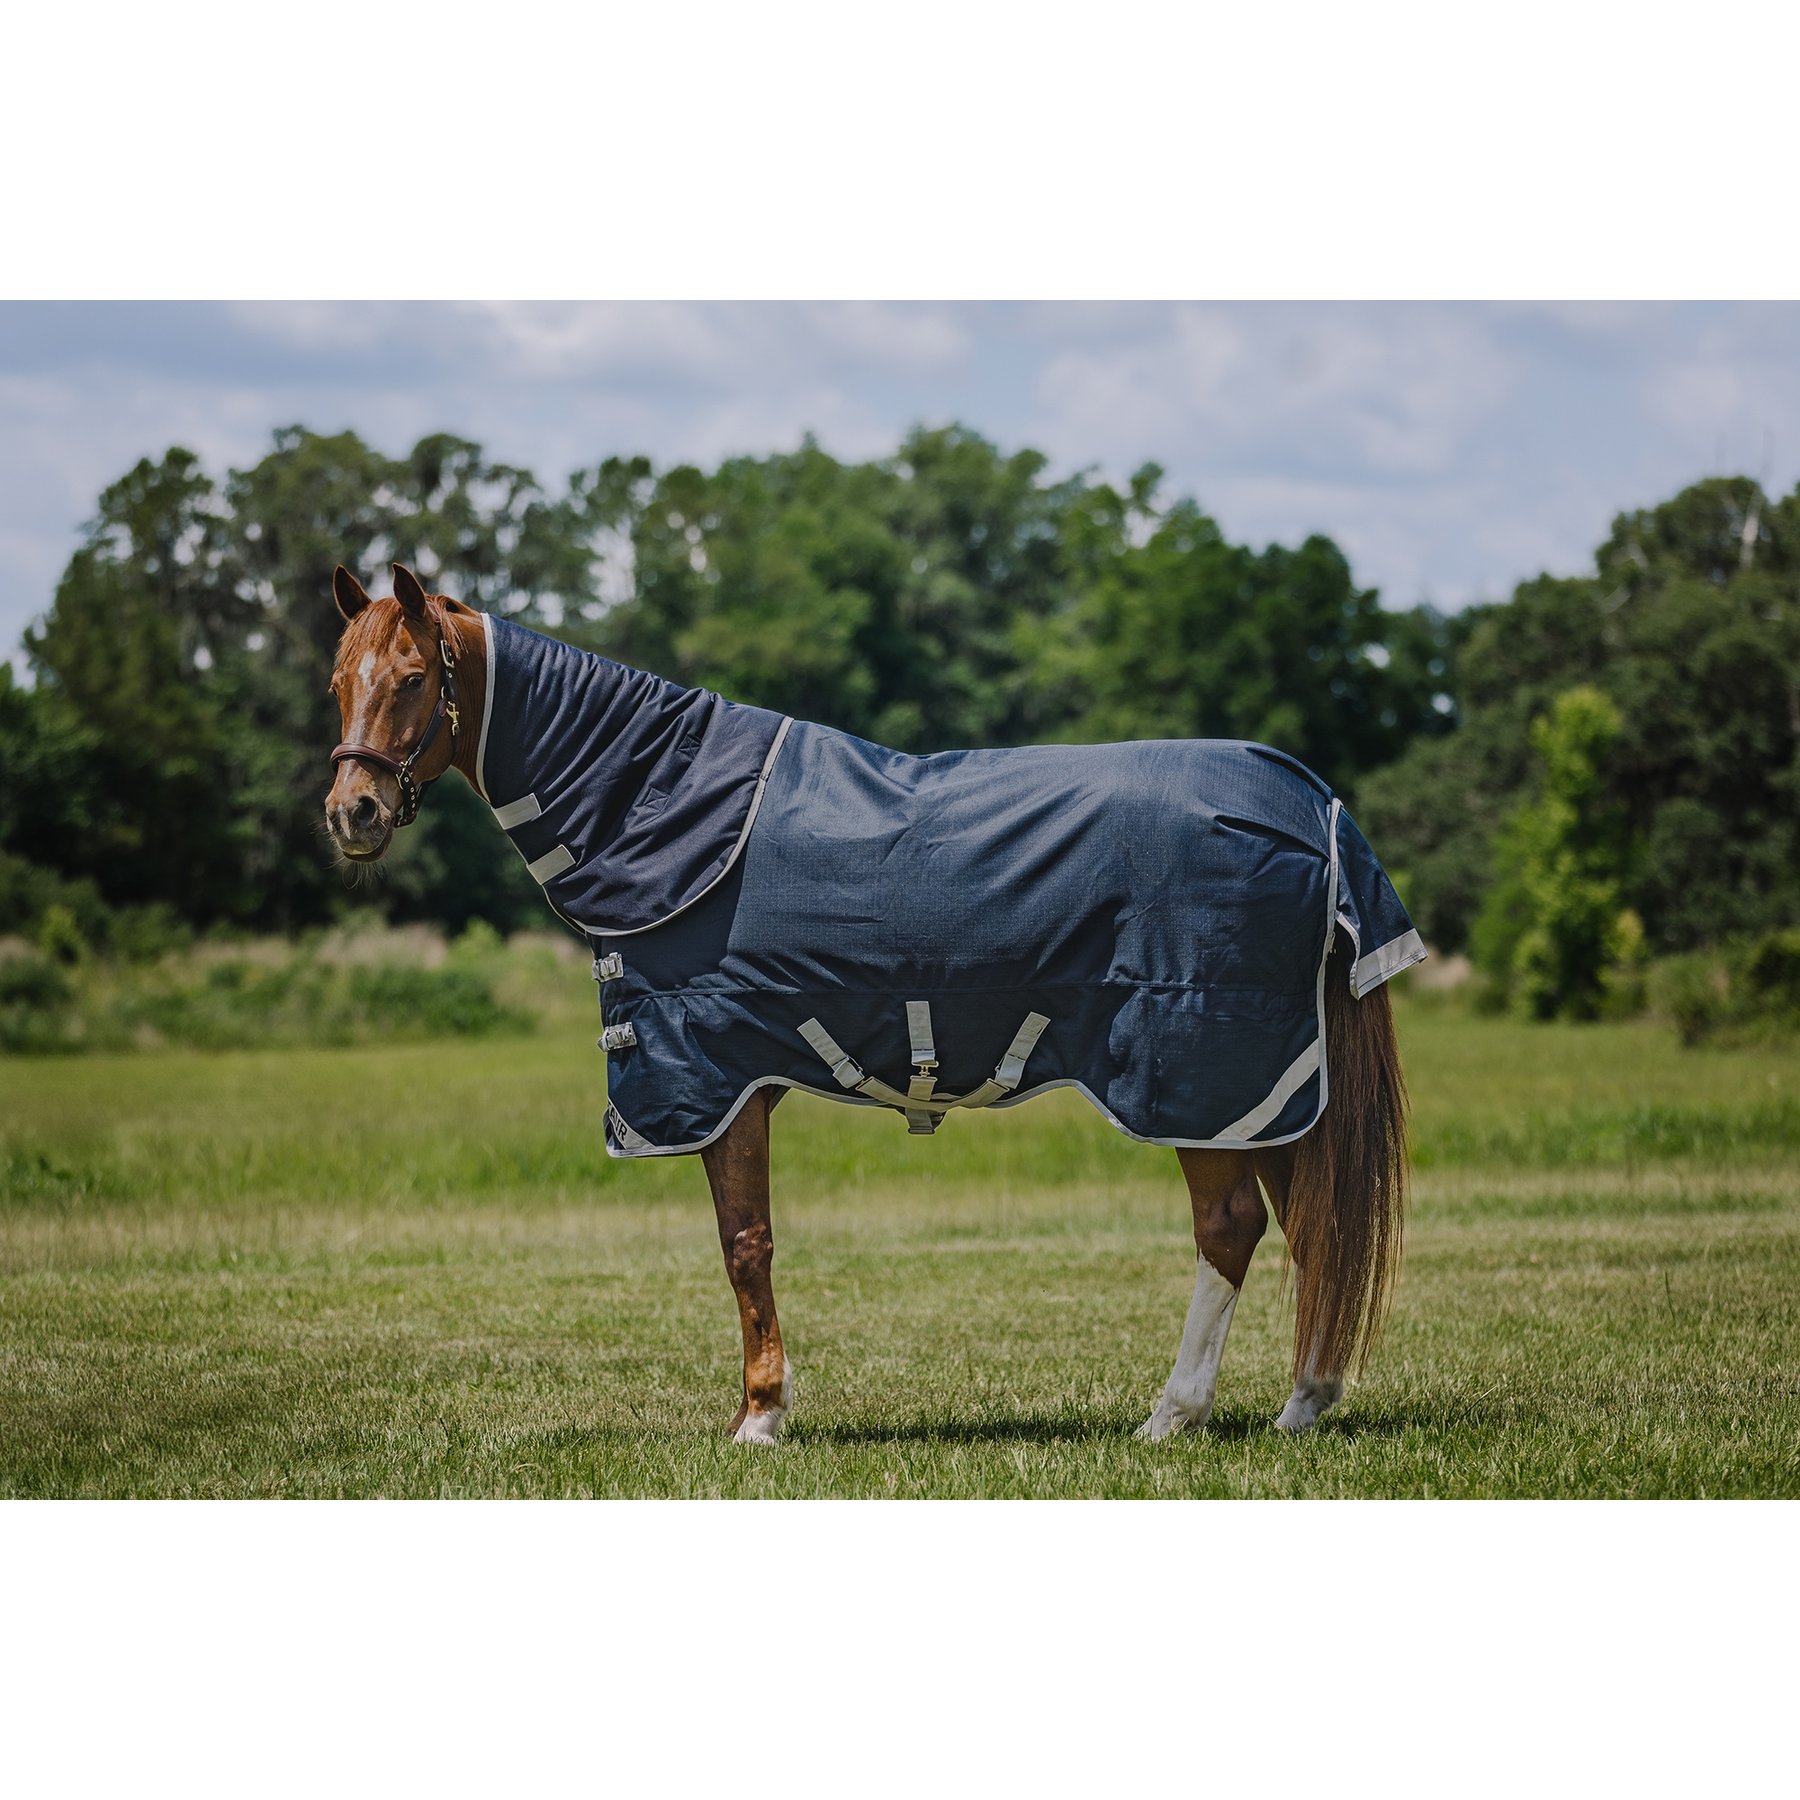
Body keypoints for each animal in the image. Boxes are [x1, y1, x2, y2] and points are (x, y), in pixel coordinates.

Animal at [325, 563, 1418, 1445]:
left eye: (414, 678)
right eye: (339, 683)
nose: (352, 815)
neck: (665, 810)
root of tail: (1310, 801)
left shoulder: (721, 1078)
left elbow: (745, 1245)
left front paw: (760, 1416)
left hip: (1193, 1073)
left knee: (1231, 1225)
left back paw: (1173, 1414)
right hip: (1261, 1085)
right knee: (1306, 1219)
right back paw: (1303, 1401)